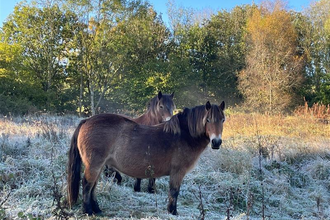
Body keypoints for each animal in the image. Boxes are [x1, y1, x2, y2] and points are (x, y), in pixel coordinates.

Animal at [68, 100, 226, 216]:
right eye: (208, 119)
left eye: (223, 120)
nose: (216, 142)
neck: (183, 135)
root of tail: (87, 120)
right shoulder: (177, 172)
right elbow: (174, 192)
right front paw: (173, 212)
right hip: (94, 165)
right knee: (87, 184)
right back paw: (88, 211)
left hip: (99, 166)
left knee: (93, 186)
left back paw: (97, 210)